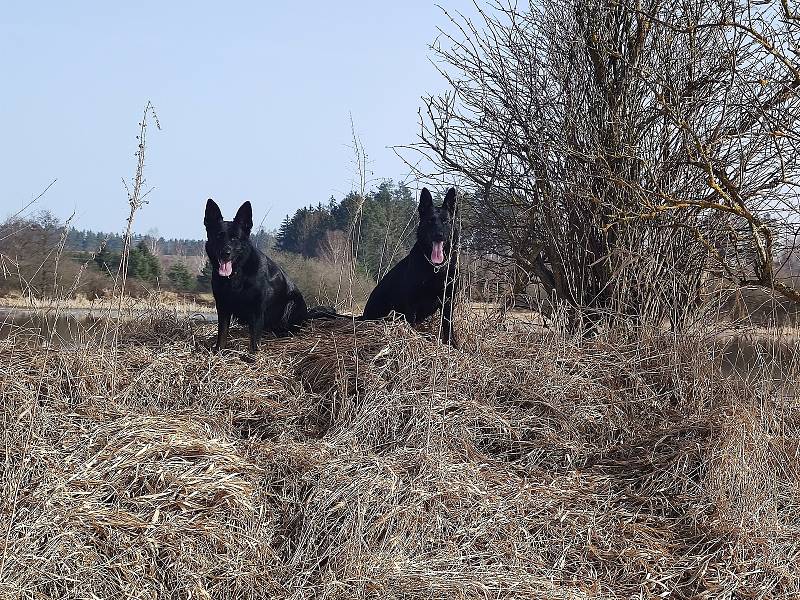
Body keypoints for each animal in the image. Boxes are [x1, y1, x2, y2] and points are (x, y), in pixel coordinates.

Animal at [205, 199, 308, 354]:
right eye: (218, 236)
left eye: (235, 238)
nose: (225, 253)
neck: (237, 275)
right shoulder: (222, 307)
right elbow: (222, 335)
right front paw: (218, 352)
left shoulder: (256, 310)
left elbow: (254, 339)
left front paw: (253, 356)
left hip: (291, 303)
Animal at [360, 188, 460, 346]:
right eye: (430, 221)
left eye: (446, 221)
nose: (439, 235)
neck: (435, 268)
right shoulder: (412, 303)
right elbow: (411, 324)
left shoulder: (448, 300)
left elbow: (447, 325)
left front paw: (452, 345)